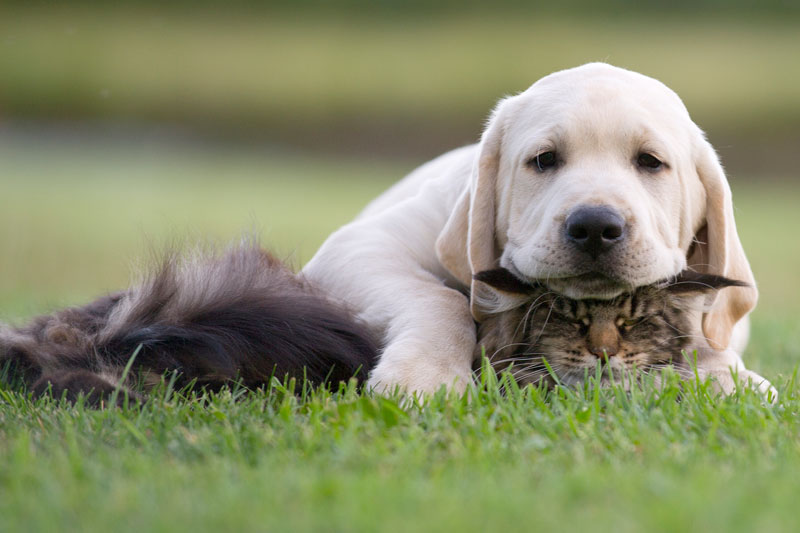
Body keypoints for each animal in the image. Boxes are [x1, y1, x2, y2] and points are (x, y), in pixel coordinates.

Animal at [304, 61, 772, 394]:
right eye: (544, 160)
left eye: (650, 161)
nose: (595, 226)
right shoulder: (360, 245)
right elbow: (441, 297)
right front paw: (427, 374)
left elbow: (700, 322)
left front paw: (725, 374)